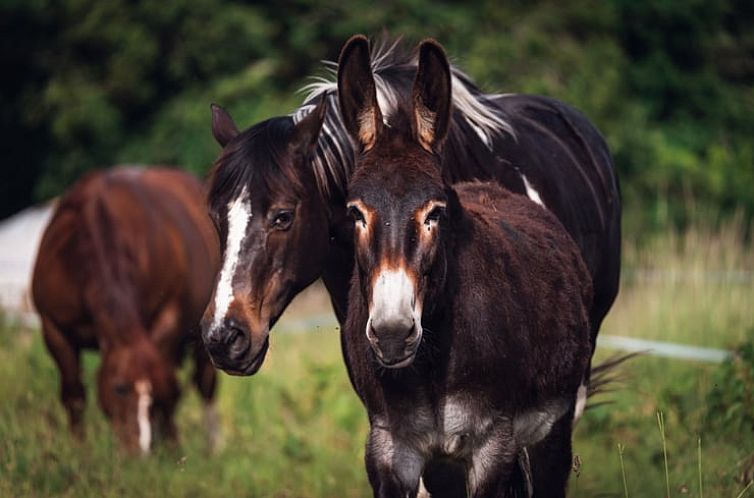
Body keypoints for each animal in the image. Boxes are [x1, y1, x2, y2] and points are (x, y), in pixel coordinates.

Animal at [32, 168, 220, 456]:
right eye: (119, 388)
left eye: (150, 392)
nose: (137, 449)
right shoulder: (53, 329)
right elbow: (74, 394)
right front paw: (79, 450)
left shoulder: (166, 323)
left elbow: (169, 387)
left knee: (204, 383)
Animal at [338, 36, 592, 498]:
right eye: (355, 213)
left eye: (434, 213)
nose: (392, 334)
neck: (431, 366)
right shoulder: (389, 445)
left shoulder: (493, 442)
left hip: (553, 426)